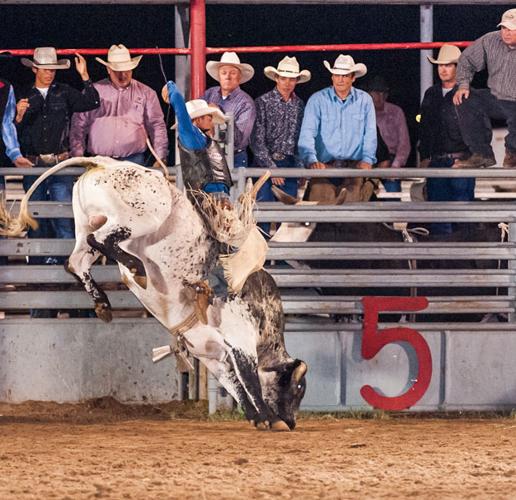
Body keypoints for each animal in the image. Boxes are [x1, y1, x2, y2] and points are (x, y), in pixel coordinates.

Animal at [0, 158, 306, 432]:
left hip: (85, 222)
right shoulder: (241, 343)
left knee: (76, 261)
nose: (292, 422)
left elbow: (235, 386)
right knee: (100, 239)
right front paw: (271, 419)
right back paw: (136, 268)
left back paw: (104, 303)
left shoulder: (212, 355)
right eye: (298, 387)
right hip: (141, 217)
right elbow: (251, 383)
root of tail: (103, 162)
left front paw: (257, 418)